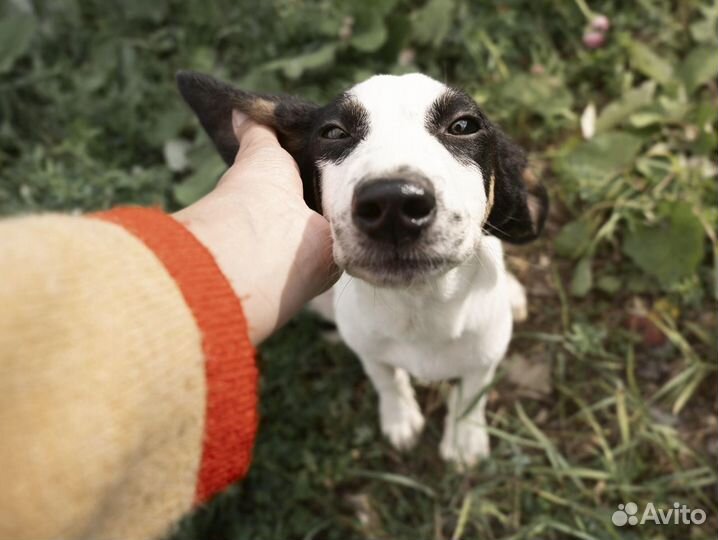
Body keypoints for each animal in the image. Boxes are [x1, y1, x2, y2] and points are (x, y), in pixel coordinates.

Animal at [177, 71, 548, 466]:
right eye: (334, 132)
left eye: (463, 125)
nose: (393, 202)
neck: (420, 305)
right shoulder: (368, 348)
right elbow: (386, 378)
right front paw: (400, 416)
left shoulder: (486, 354)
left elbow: (471, 393)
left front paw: (464, 437)